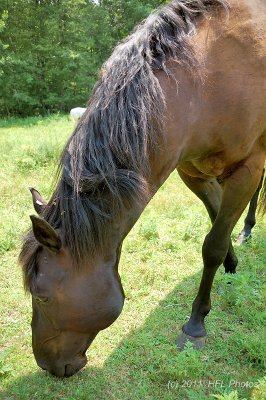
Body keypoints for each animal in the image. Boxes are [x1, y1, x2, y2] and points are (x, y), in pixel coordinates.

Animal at [19, 0, 264, 376]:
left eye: (42, 295)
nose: (47, 366)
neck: (206, 80)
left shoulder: (248, 167)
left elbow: (212, 245)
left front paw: (195, 323)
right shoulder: (191, 170)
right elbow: (216, 220)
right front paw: (232, 262)